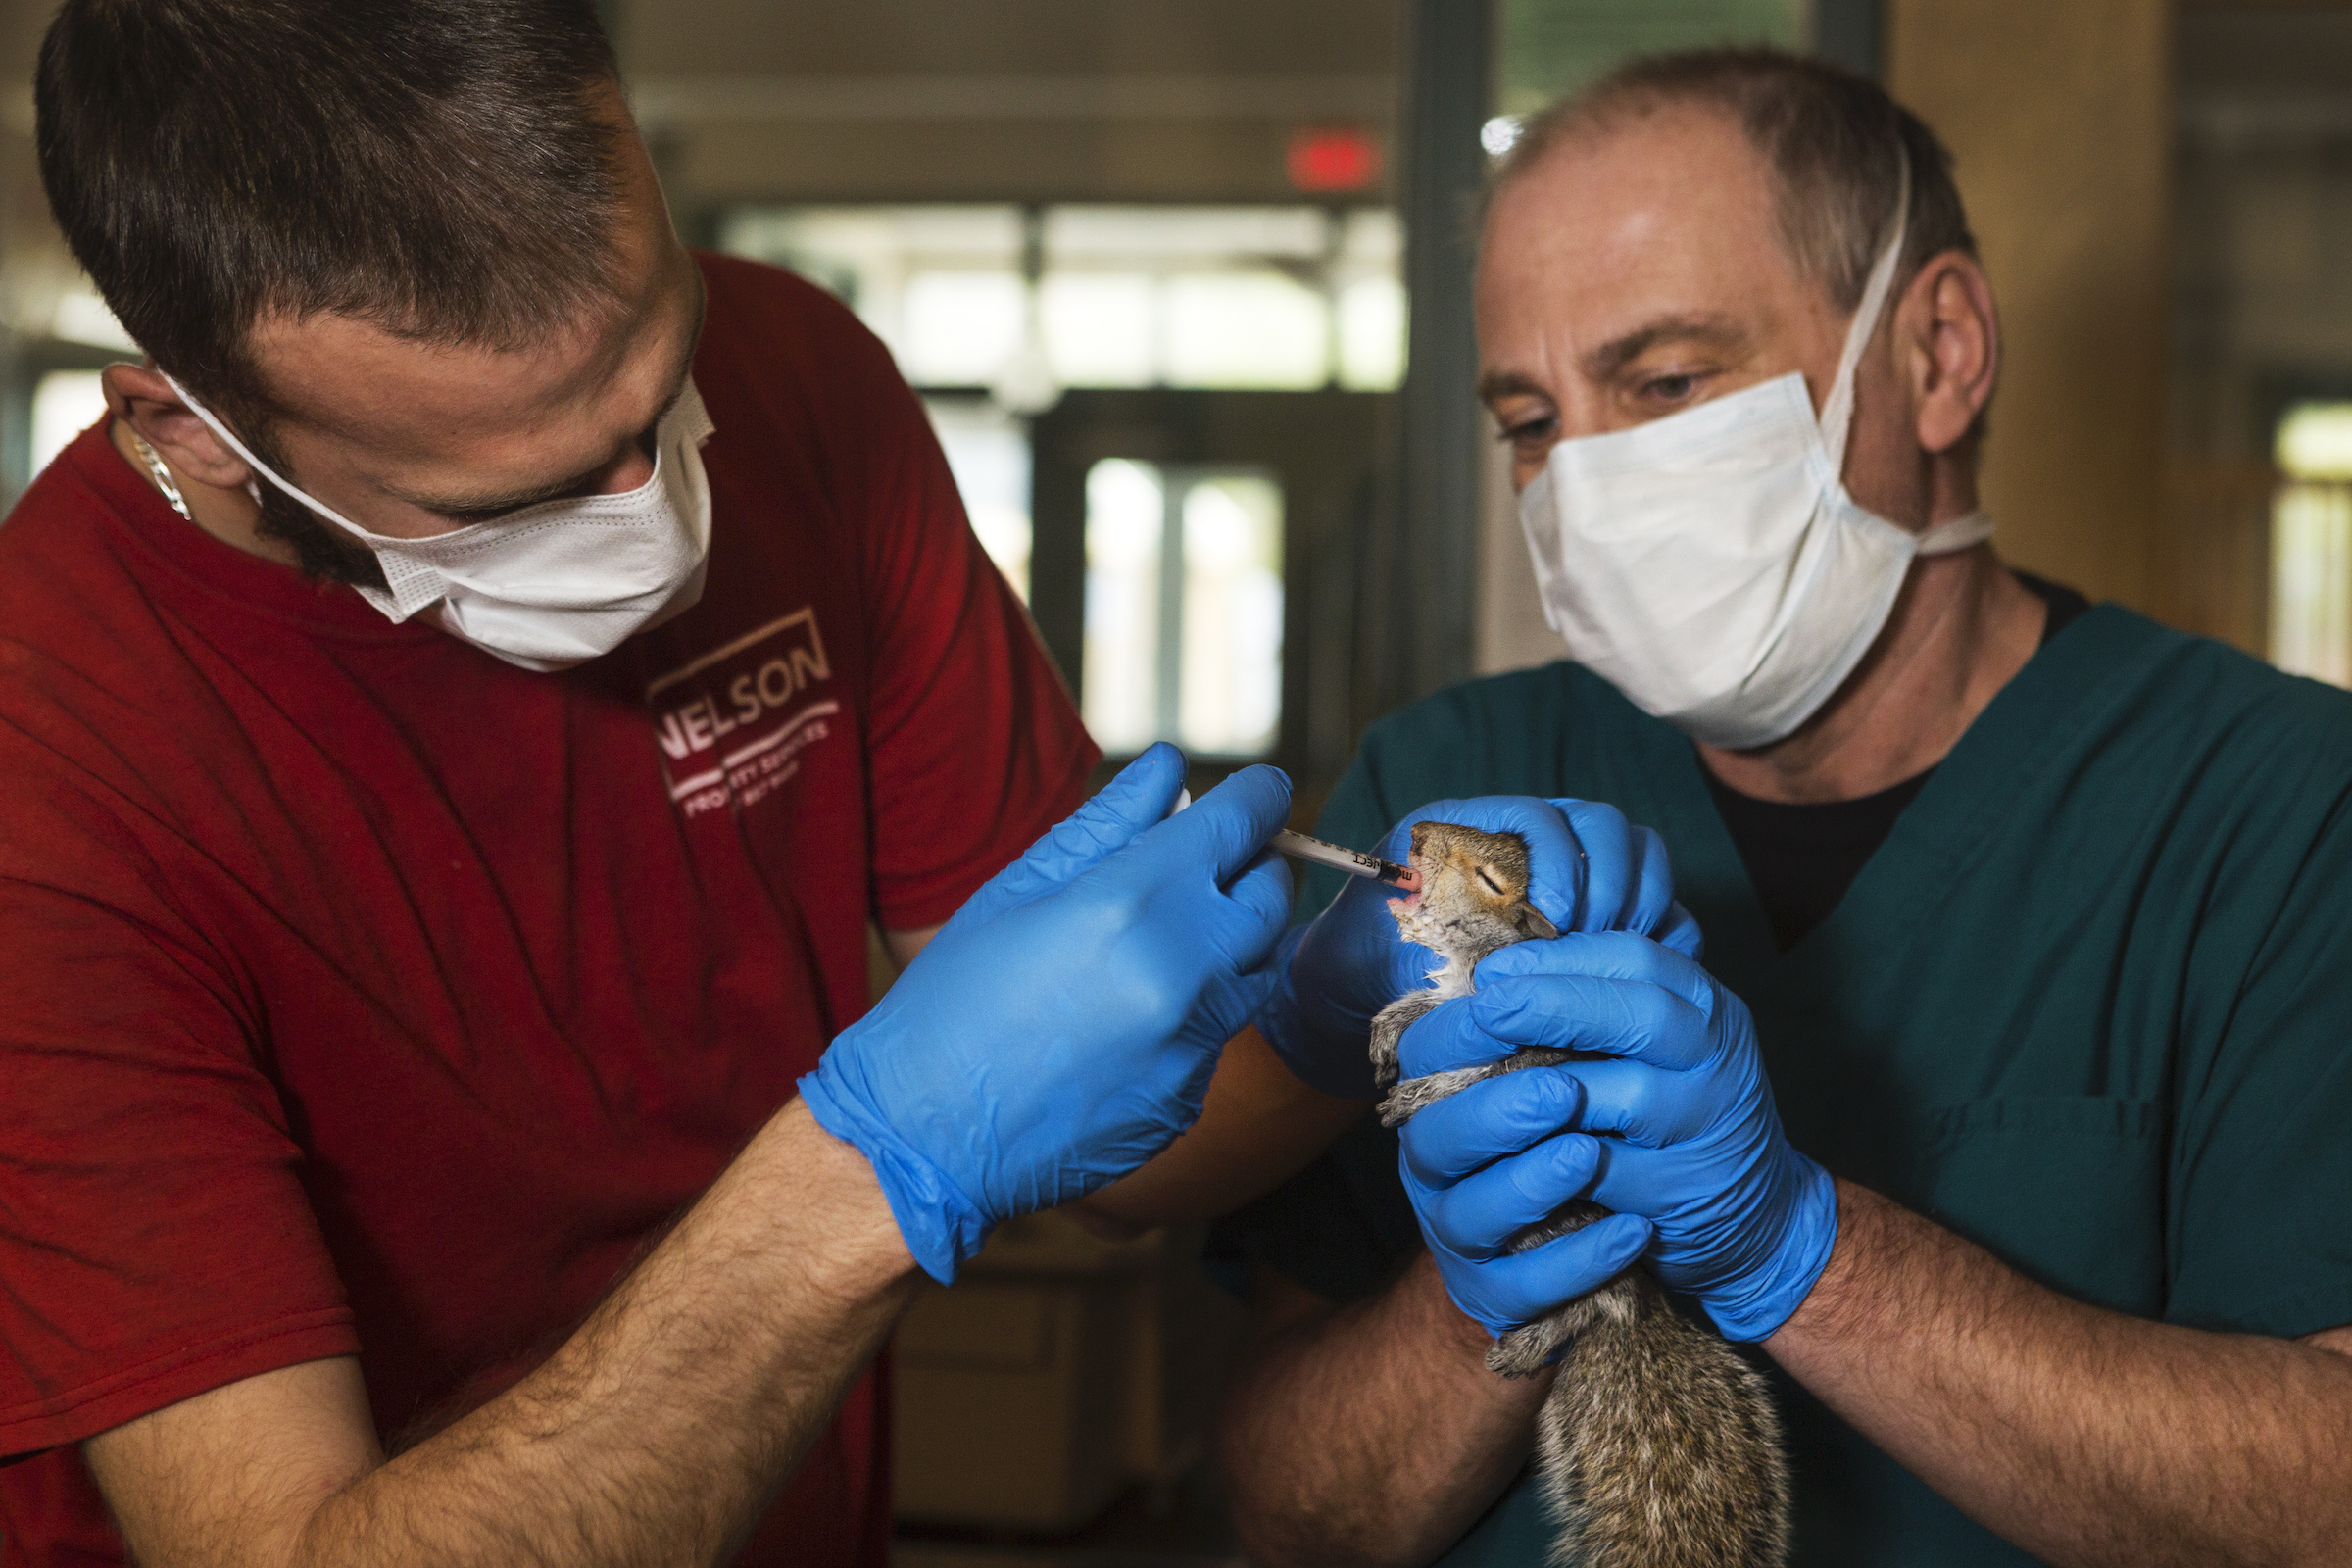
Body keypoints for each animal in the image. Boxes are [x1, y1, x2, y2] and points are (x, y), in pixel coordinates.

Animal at [1369, 820, 1792, 1568]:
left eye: (1493, 882)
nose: (1417, 833)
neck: (1479, 963)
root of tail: (1641, 1308)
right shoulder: (1450, 1000)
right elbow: (1421, 1007)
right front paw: (1387, 1032)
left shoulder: (1540, 1057)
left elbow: (1485, 1077)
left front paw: (1421, 1093)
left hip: (1579, 1246)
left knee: (1591, 1303)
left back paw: (1530, 1344)